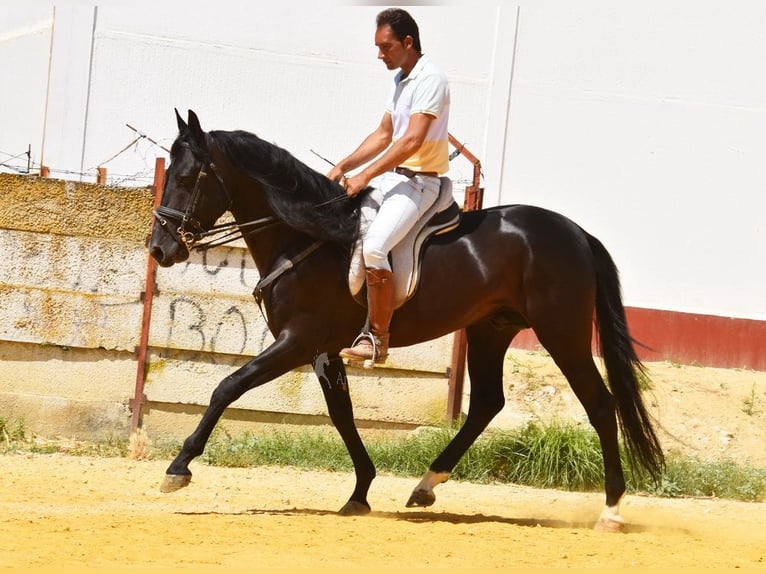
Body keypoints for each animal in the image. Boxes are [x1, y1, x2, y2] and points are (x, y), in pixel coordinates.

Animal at [152, 110, 664, 532]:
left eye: (188, 175)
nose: (160, 248)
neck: (305, 237)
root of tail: (576, 232)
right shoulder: (322, 351)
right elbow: (342, 414)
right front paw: (360, 492)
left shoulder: (298, 341)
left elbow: (228, 387)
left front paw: (178, 468)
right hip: (490, 330)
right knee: (487, 403)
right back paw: (425, 486)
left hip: (562, 334)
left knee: (600, 404)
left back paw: (611, 510)